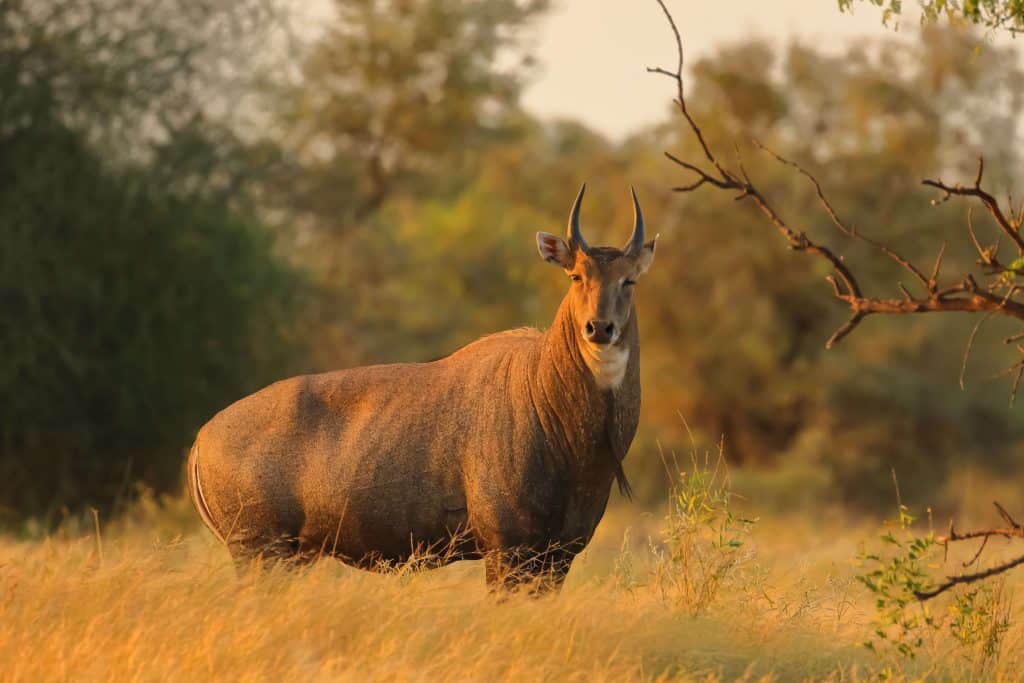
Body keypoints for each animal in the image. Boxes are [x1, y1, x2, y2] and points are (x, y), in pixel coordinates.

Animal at [187, 185, 657, 592]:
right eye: (576, 275)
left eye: (629, 280)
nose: (599, 328)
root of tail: (201, 440)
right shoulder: (507, 549)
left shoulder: (558, 555)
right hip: (260, 551)